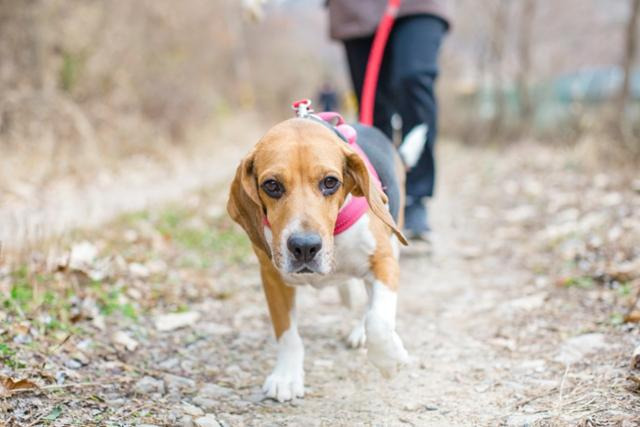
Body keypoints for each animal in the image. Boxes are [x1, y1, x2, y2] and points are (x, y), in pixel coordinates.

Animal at [228, 115, 410, 402]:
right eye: (272, 185)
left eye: (330, 182)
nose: (304, 247)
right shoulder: (272, 277)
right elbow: (287, 334)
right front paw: (286, 376)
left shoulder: (383, 261)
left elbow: (378, 322)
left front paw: (390, 360)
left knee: (369, 306)